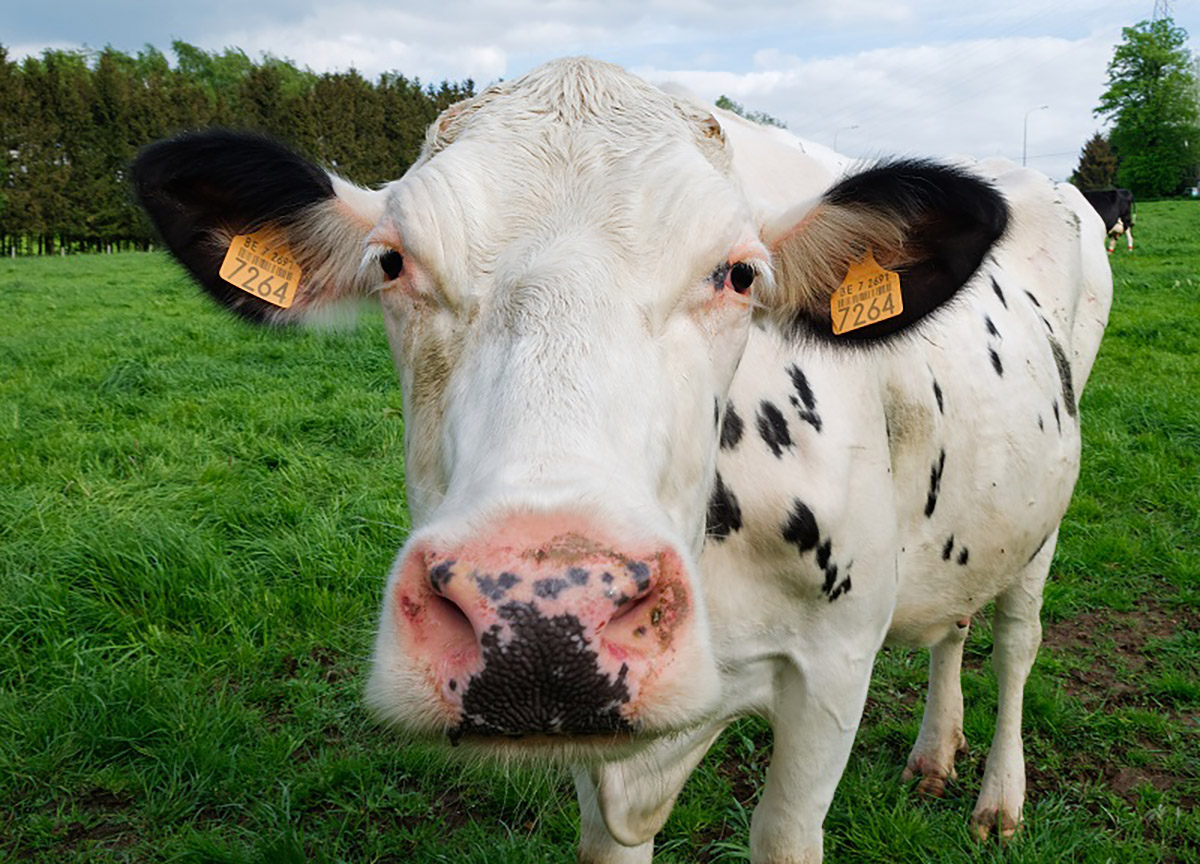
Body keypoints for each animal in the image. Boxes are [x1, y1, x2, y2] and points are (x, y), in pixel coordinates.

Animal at [132, 58, 1111, 863]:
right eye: (392, 263)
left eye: (739, 274)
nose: (537, 620)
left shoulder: (834, 667)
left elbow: (785, 831)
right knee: (953, 622)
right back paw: (934, 754)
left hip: (1047, 516)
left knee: (1015, 641)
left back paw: (997, 799)